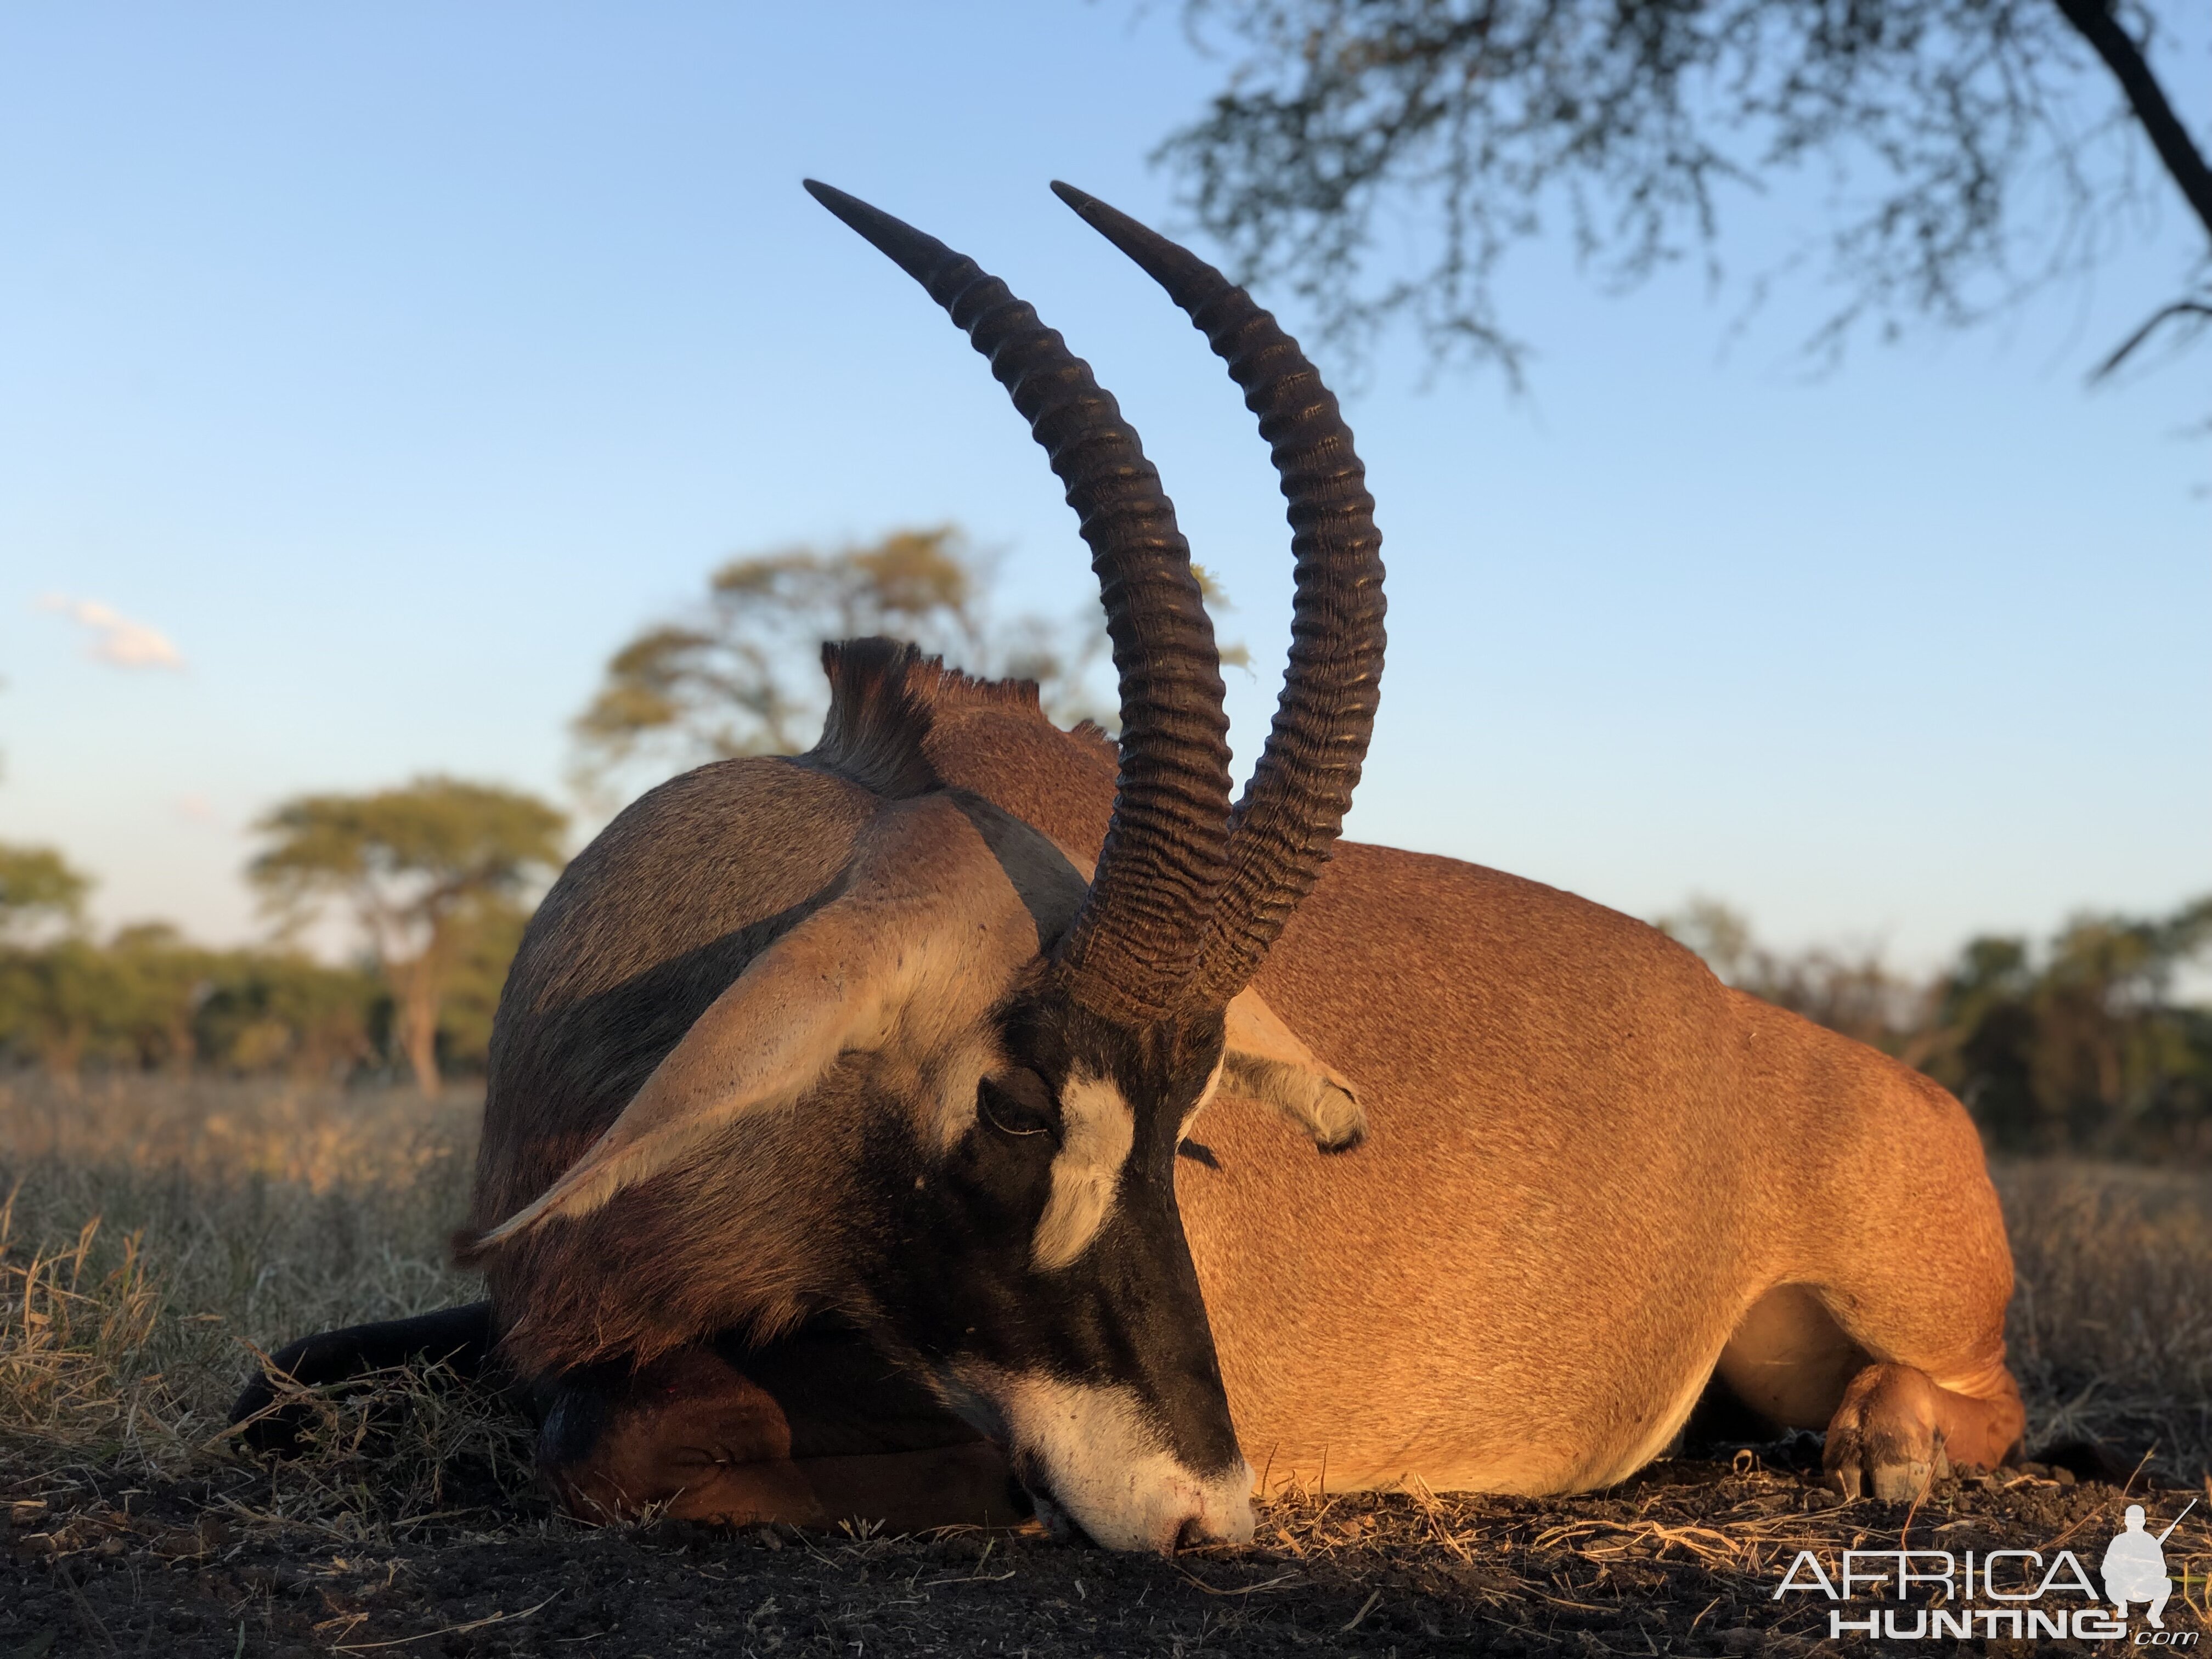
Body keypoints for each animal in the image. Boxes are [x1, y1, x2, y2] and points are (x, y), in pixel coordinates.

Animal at [238, 181, 2026, 1557]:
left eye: (1189, 1126)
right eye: (1021, 1105)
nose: (1206, 1516)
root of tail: (1768, 1031)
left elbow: (617, 1438)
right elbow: (280, 1376)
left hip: (1898, 1314)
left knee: (1981, 1394)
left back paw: (1886, 1444)